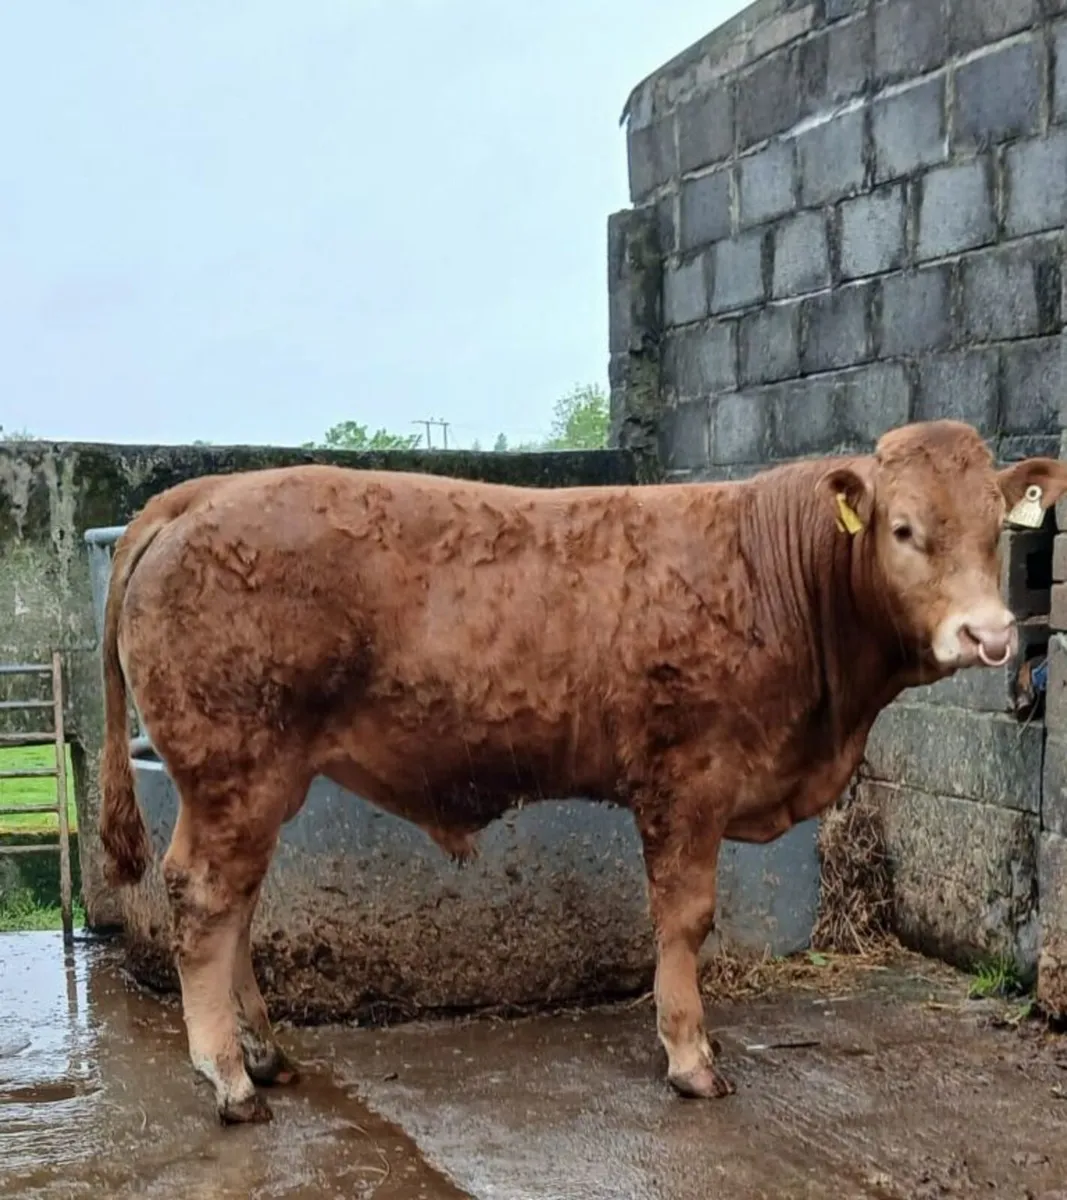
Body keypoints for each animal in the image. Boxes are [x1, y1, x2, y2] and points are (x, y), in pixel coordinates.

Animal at [97, 419, 1067, 1125]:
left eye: (996, 530)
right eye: (903, 529)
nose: (988, 635)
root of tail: (203, 492)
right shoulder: (687, 780)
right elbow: (684, 918)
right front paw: (690, 1057)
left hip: (261, 781)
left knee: (238, 905)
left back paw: (266, 1056)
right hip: (234, 767)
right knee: (203, 901)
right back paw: (228, 1078)